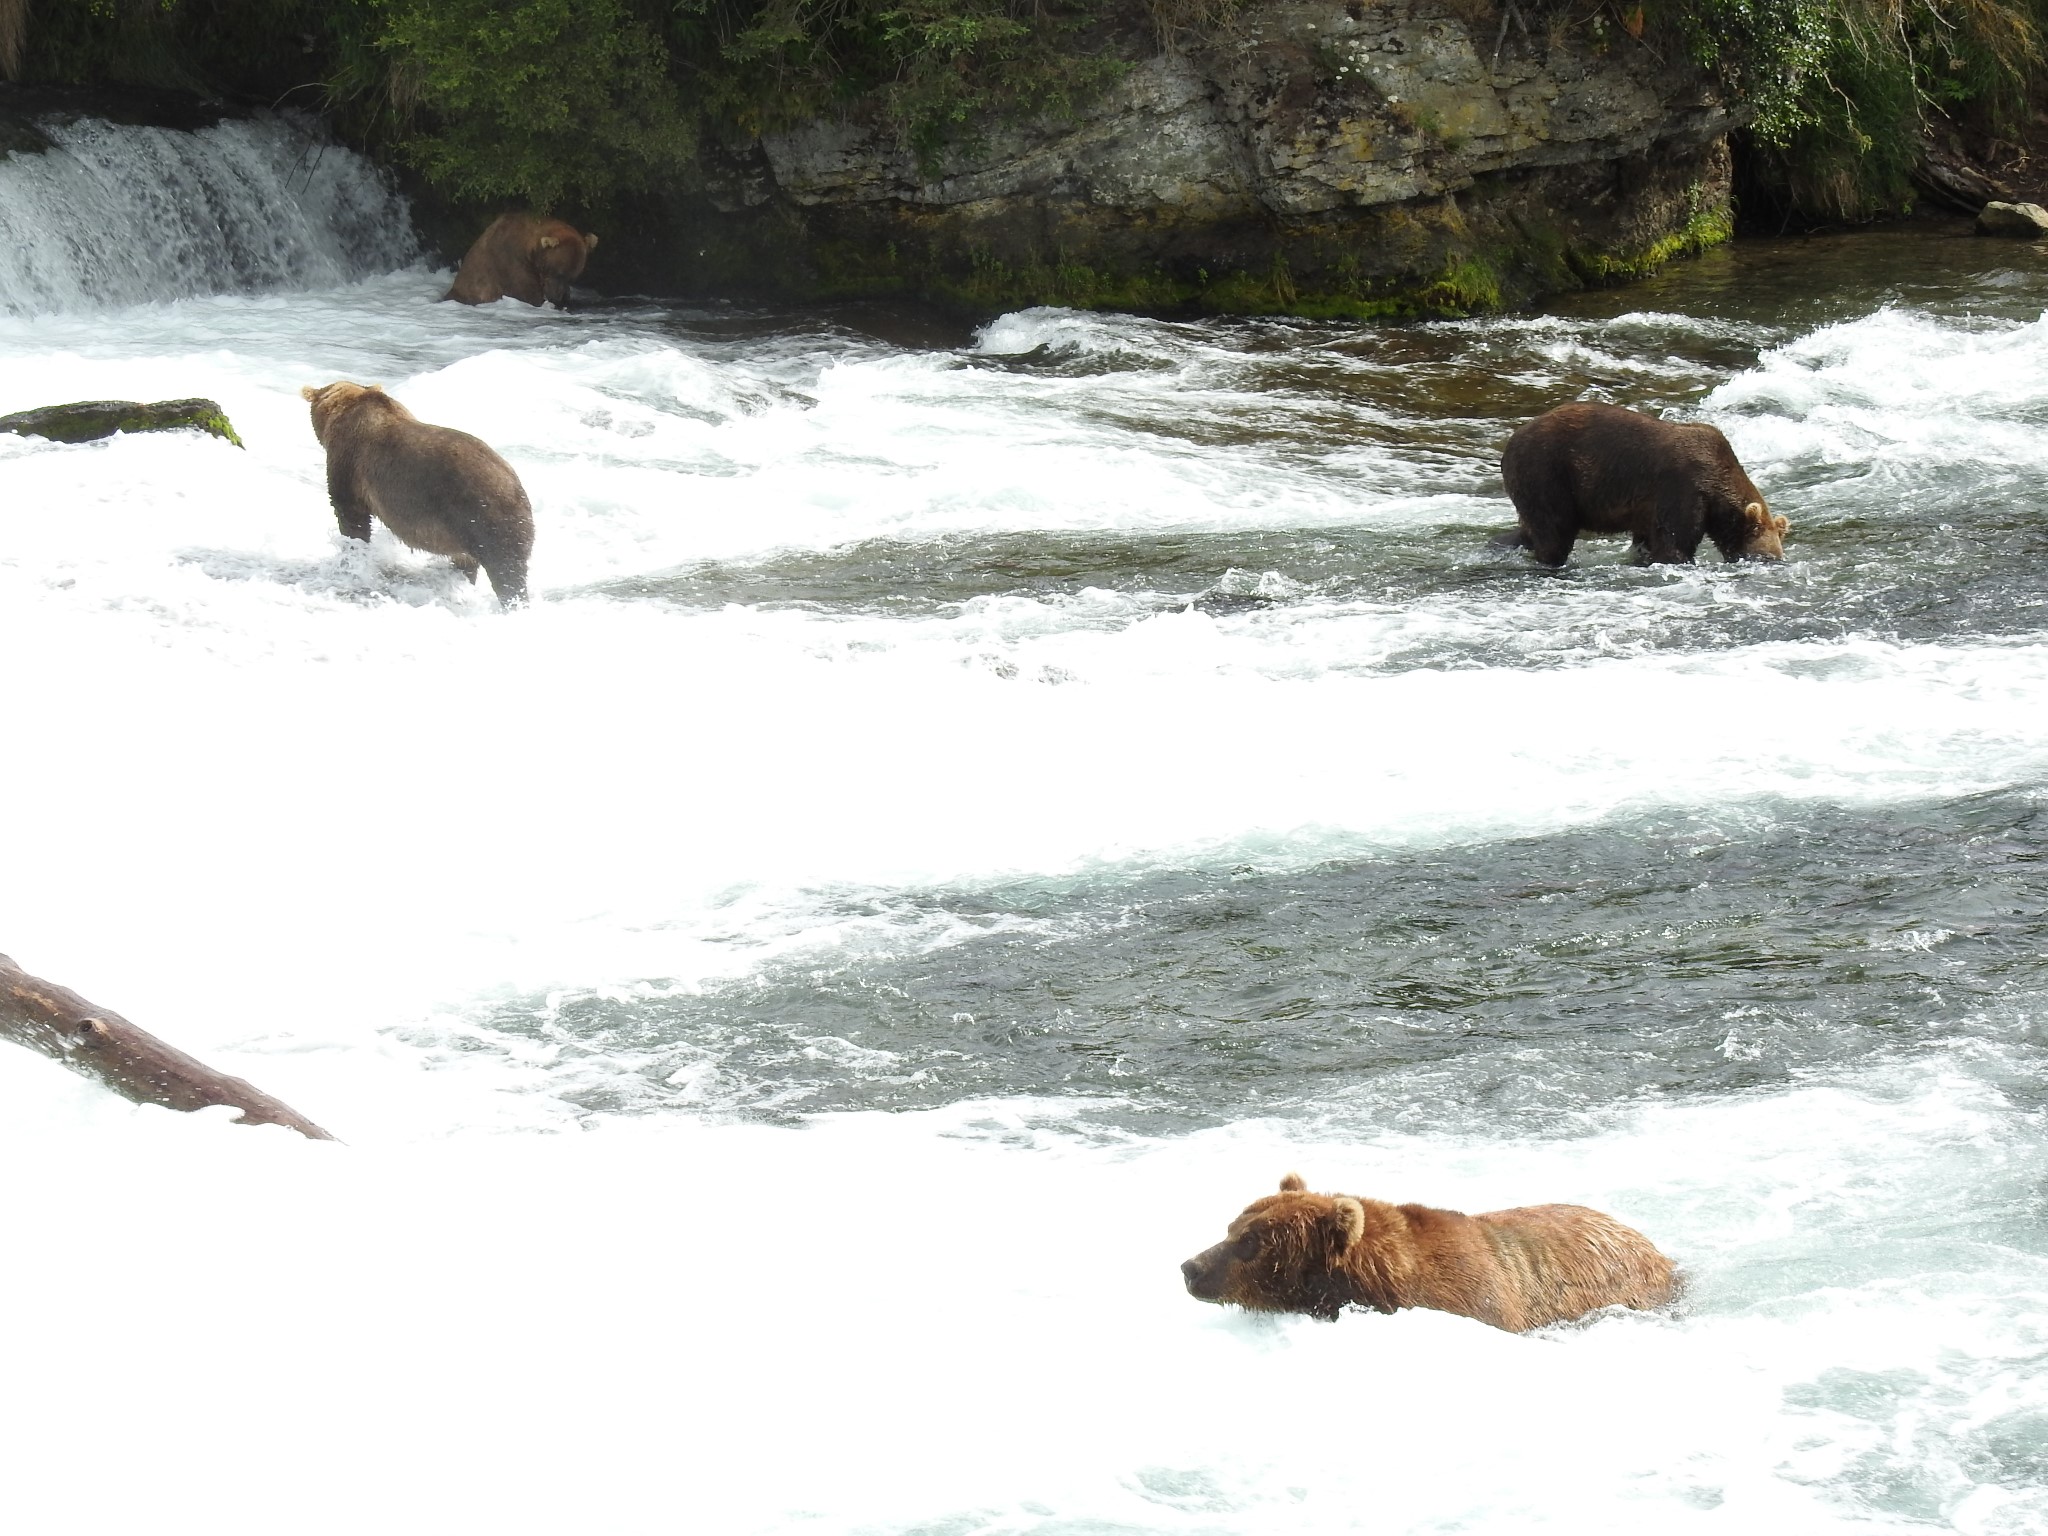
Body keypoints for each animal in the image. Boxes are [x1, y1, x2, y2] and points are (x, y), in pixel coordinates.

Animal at [299, 382, 536, 610]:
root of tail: (517, 487)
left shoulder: (349, 462)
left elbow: (350, 515)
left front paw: (352, 556)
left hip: (486, 517)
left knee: (506, 571)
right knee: (468, 562)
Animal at [1490, 399, 1794, 569]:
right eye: (1766, 556)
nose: (1776, 563)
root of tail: (1509, 444)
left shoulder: (1647, 510)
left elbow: (1645, 540)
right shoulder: (1683, 489)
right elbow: (1674, 542)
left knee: (1529, 528)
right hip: (1547, 472)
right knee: (1554, 531)